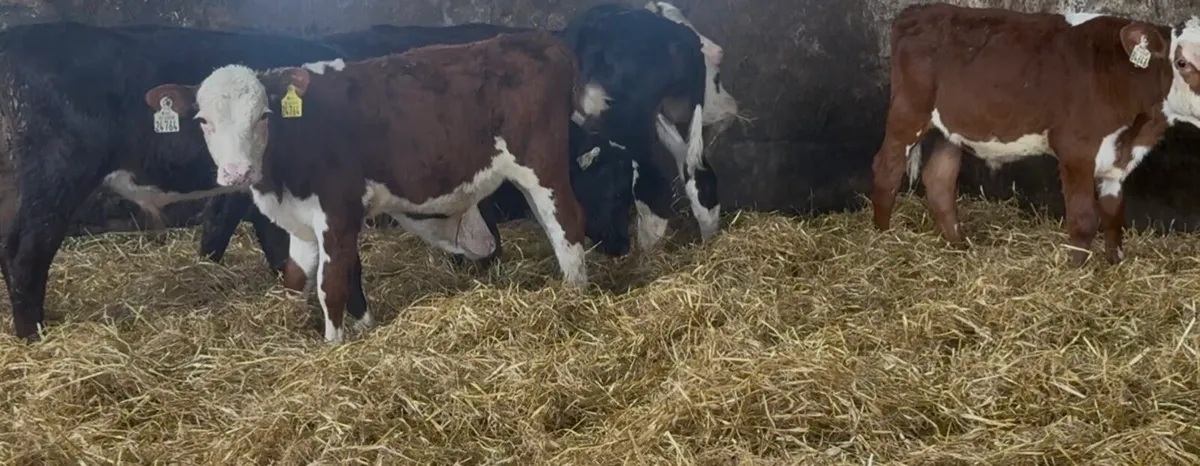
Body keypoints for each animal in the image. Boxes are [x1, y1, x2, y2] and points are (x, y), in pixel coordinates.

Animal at [0, 21, 368, 341]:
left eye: (264, 116)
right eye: (202, 120)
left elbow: (236, 234)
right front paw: (361, 319)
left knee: (8, 247)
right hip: (56, 176)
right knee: (26, 257)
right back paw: (32, 337)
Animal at [144, 31, 607, 342]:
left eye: (264, 115)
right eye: (203, 120)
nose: (236, 173)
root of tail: (536, 39)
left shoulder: (337, 209)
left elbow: (331, 283)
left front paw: (333, 347)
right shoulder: (306, 220)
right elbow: (303, 276)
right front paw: (358, 325)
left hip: (541, 164)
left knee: (568, 221)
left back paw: (574, 297)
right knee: (552, 225)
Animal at [870, 4, 1200, 266]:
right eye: (1182, 62)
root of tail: (918, 11)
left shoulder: (1116, 160)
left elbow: (1114, 213)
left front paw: (1114, 264)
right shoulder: (1076, 150)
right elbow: (1083, 219)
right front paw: (1076, 273)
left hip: (951, 128)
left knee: (939, 180)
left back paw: (959, 246)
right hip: (909, 112)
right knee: (887, 170)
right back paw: (883, 240)